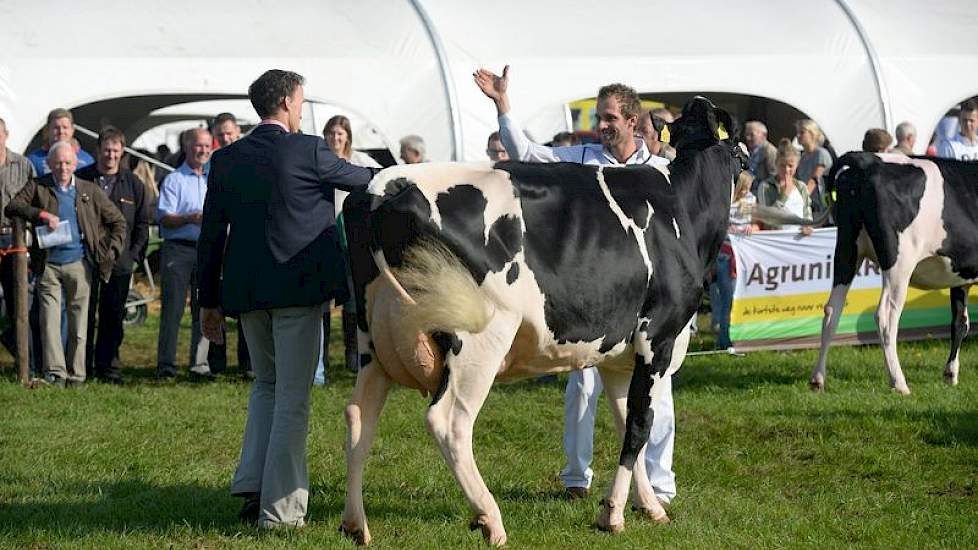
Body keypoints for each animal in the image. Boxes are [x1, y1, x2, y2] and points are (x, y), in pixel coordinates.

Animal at [338, 97, 740, 544]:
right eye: (741, 153)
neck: (680, 208)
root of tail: (383, 186)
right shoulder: (659, 339)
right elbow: (639, 424)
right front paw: (613, 515)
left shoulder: (618, 355)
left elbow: (625, 424)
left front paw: (648, 506)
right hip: (478, 339)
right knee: (449, 423)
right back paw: (491, 520)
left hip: (373, 341)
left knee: (359, 417)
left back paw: (356, 524)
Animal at [808, 153, 976, 394]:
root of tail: (869, 161)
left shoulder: (959, 276)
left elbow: (960, 322)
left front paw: (950, 374)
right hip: (899, 263)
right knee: (886, 316)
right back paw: (899, 382)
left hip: (847, 250)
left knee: (832, 310)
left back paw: (818, 379)